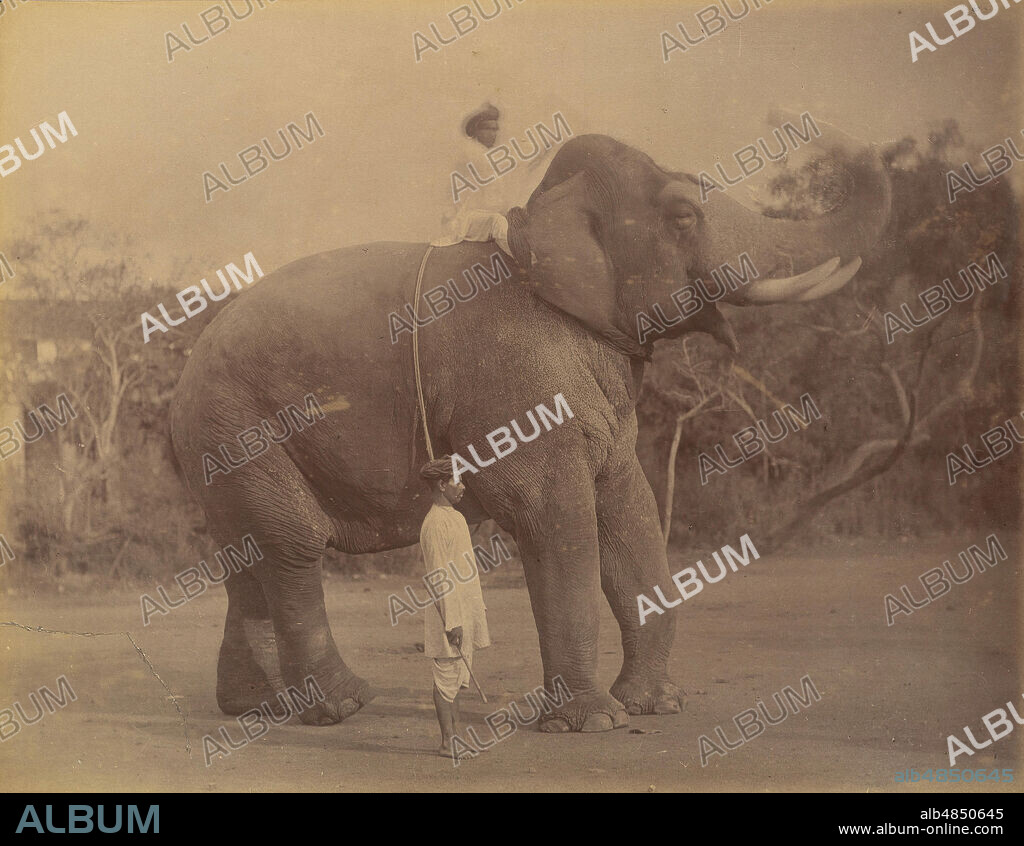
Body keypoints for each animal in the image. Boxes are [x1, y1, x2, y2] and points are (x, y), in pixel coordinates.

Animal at [167, 118, 888, 733]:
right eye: (684, 215)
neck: (542, 216)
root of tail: (182, 381)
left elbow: (629, 510)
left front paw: (657, 706)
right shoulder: (514, 380)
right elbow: (554, 515)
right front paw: (595, 723)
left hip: (224, 444)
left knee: (249, 555)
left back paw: (255, 709)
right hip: (239, 427)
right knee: (293, 545)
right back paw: (342, 707)